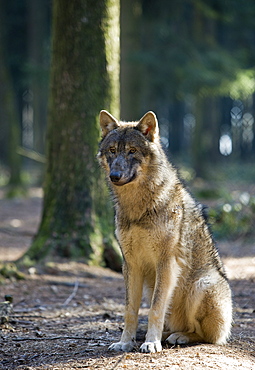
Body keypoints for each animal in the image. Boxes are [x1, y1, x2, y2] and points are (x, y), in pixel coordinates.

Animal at [97, 109, 233, 352]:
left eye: (132, 151)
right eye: (112, 151)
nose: (114, 176)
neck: (138, 208)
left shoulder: (166, 262)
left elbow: (155, 308)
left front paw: (151, 343)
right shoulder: (130, 264)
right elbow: (130, 310)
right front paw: (125, 342)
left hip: (202, 285)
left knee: (206, 335)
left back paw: (179, 337)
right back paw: (167, 334)